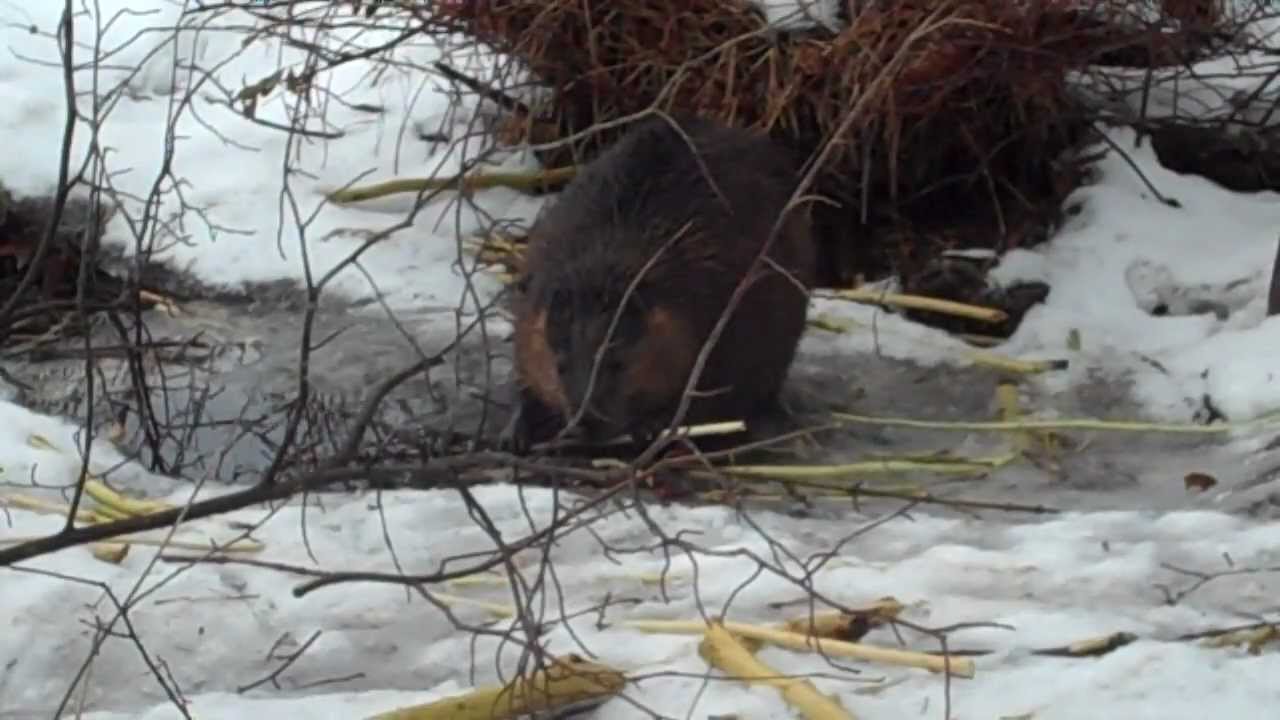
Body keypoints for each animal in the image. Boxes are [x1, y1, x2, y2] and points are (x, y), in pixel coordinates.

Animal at [504, 112, 814, 448]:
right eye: (560, 365)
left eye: (617, 362)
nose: (587, 422)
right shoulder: (533, 298)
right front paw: (517, 432)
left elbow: (715, 387)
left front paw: (652, 426)